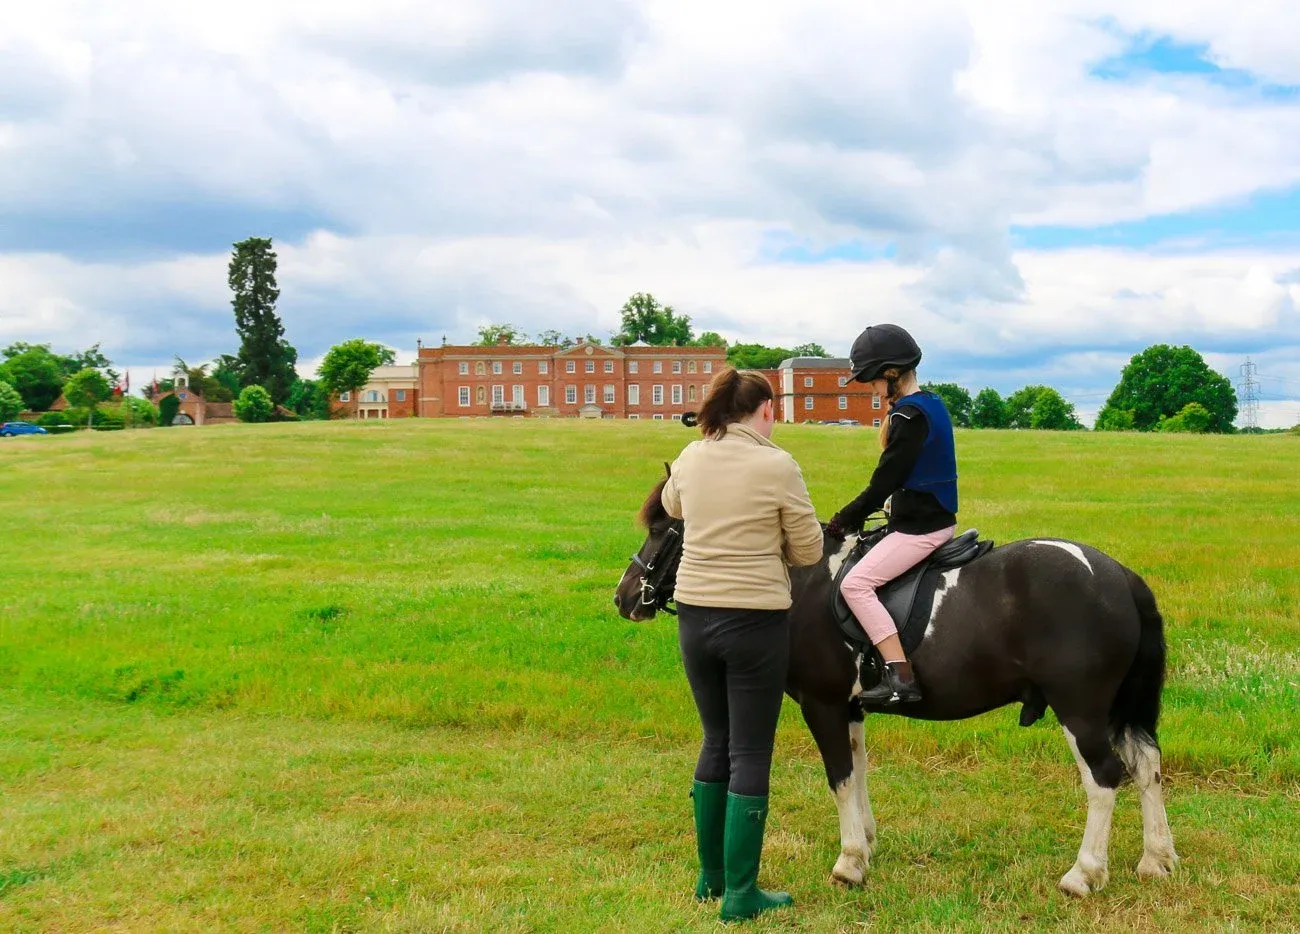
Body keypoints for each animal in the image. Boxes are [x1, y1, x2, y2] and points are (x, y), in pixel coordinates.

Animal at [613, 471, 1179, 897]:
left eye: (662, 529)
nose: (624, 597)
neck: (809, 582)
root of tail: (1119, 576)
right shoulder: (850, 708)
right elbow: (859, 771)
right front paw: (865, 842)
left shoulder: (822, 705)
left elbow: (840, 778)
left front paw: (849, 863)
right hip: (1114, 710)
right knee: (1146, 766)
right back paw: (1156, 859)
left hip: (1080, 710)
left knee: (1105, 777)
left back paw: (1084, 874)